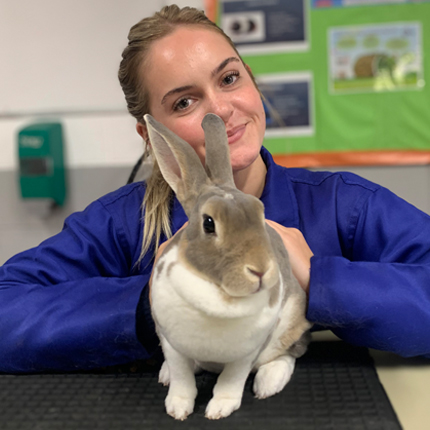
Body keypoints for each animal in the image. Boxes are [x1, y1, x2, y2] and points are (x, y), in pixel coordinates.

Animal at [144, 113, 312, 420]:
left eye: (261, 213)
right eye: (209, 223)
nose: (260, 270)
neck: (217, 292)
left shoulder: (246, 351)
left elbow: (232, 379)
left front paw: (220, 408)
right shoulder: (171, 343)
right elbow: (182, 376)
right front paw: (178, 408)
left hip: (293, 322)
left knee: (289, 353)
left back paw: (269, 382)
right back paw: (165, 375)